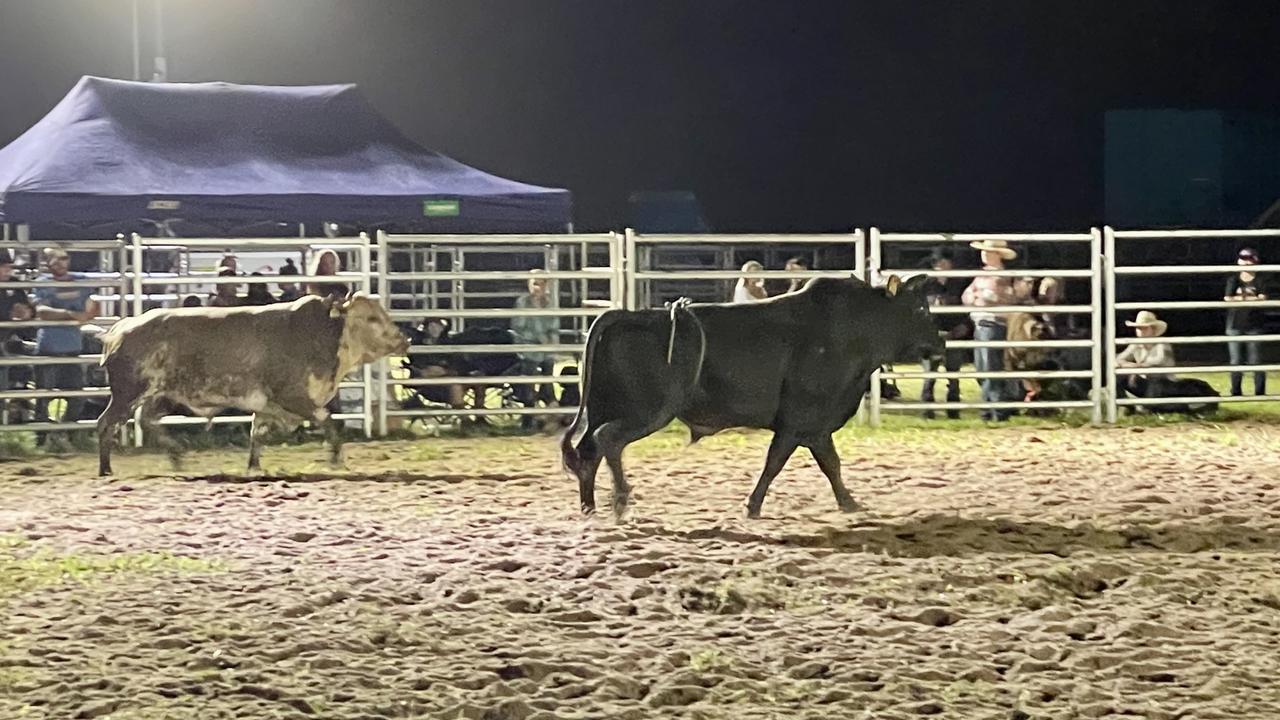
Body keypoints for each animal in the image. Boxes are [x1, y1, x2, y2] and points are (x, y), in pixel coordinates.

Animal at [565, 274, 947, 515]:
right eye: (921, 309)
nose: (941, 343)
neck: (856, 328)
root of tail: (627, 315)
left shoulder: (815, 428)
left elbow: (830, 464)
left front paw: (848, 503)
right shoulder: (799, 421)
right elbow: (777, 462)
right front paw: (753, 505)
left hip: (604, 405)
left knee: (588, 449)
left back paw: (589, 505)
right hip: (648, 411)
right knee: (607, 439)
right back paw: (620, 500)